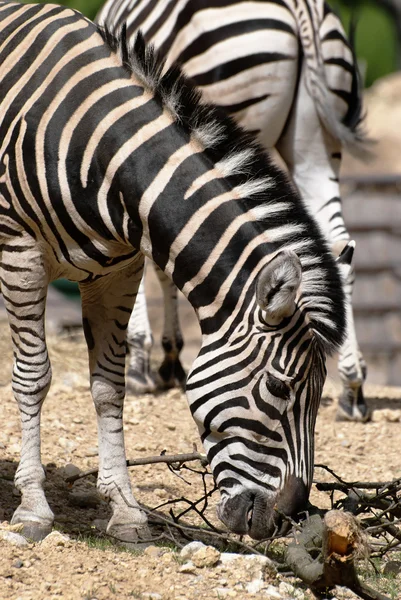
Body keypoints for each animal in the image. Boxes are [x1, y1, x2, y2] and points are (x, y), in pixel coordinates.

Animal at [97, 0, 368, 422]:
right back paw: (353, 389)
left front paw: (143, 360)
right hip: (314, 143)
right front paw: (169, 357)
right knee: (339, 246)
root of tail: (301, 8)